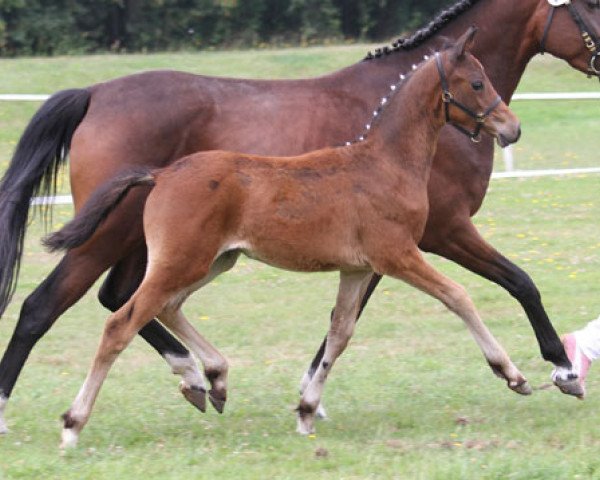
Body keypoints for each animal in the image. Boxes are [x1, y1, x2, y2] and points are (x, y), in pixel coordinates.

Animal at [45, 29, 520, 450]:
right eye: (477, 82)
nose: (511, 128)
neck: (385, 162)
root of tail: (161, 174)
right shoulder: (397, 256)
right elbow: (458, 296)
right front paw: (512, 373)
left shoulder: (356, 269)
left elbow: (339, 333)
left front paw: (307, 411)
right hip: (182, 261)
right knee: (121, 323)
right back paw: (73, 424)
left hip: (214, 261)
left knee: (167, 306)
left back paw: (214, 378)